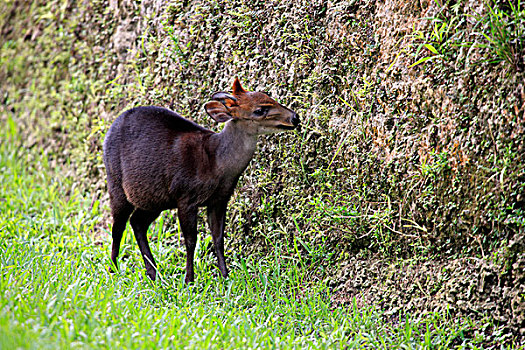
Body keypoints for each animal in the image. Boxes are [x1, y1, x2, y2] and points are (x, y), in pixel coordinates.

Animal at [103, 77, 298, 282]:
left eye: (270, 97)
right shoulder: (185, 198)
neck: (216, 163)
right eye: (259, 110)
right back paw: (113, 269)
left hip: (155, 198)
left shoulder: (220, 199)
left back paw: (153, 273)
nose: (295, 118)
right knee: (118, 227)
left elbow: (218, 238)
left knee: (138, 222)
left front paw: (225, 275)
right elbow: (191, 240)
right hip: (116, 185)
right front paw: (189, 279)